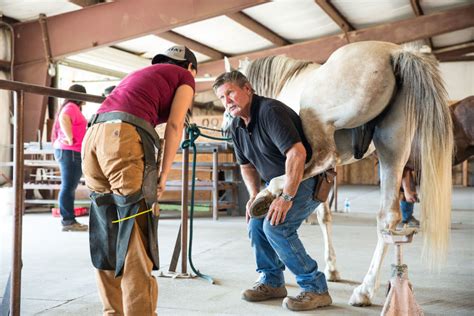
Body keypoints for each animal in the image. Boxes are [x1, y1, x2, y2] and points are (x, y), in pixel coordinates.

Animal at [222, 41, 452, 306]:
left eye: (228, 96)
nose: (225, 127)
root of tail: (395, 53)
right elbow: (324, 215)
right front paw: (332, 269)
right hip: (392, 149)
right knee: (387, 217)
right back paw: (365, 291)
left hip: (320, 123)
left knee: (323, 157)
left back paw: (267, 194)